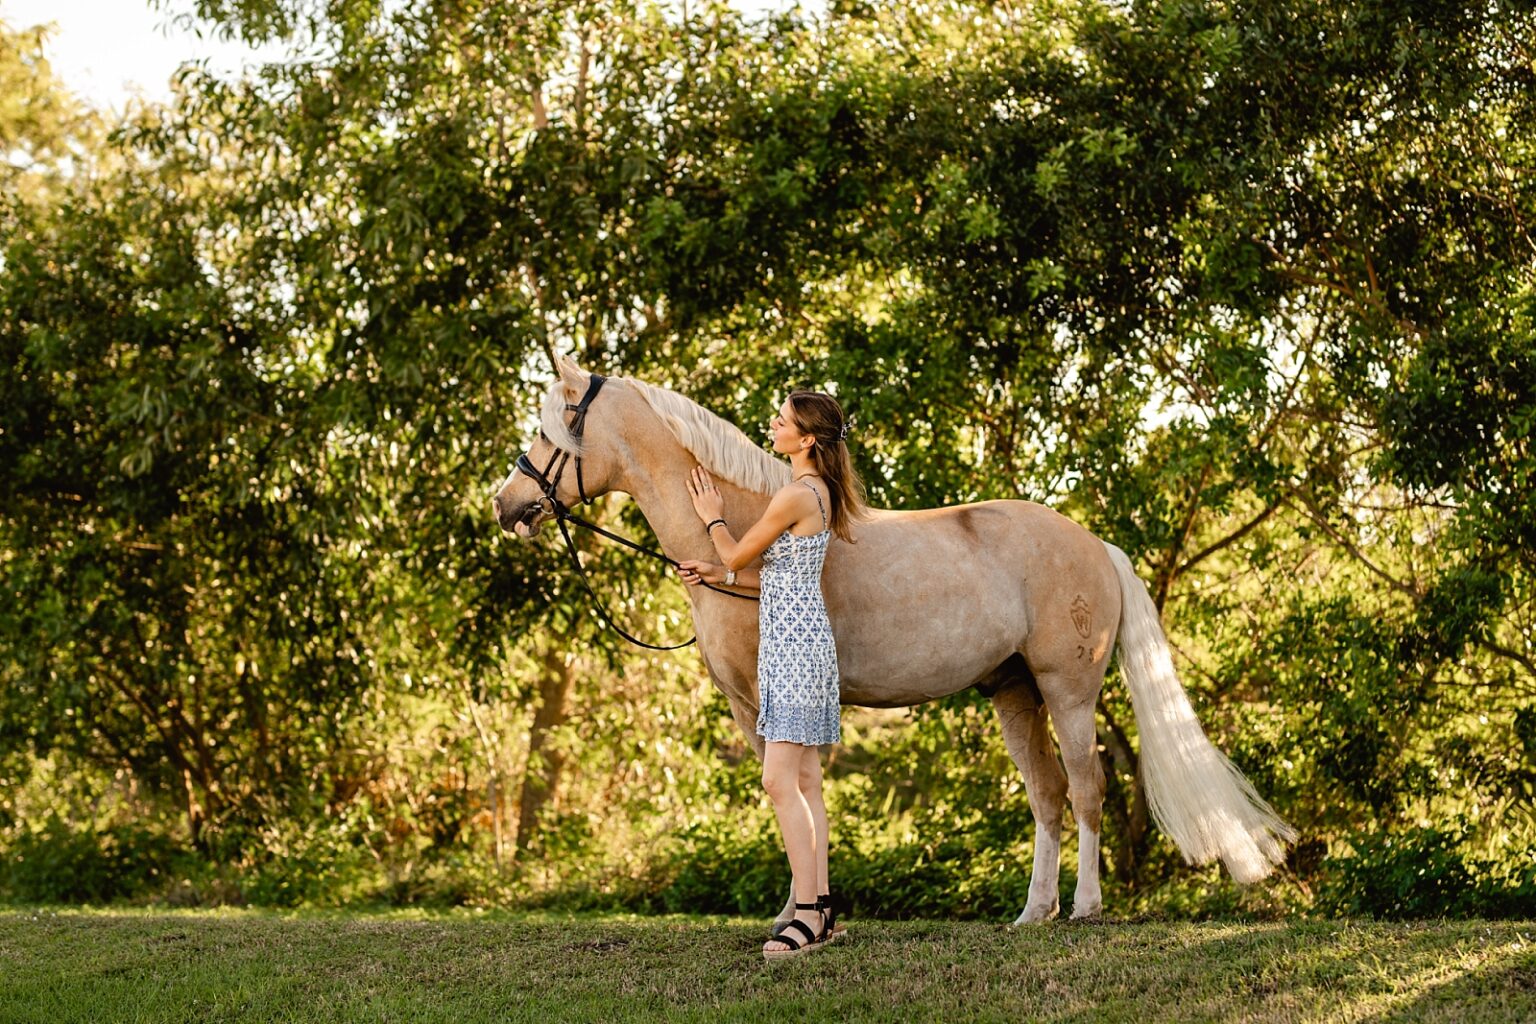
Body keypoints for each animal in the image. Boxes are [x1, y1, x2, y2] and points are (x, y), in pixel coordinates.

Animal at [493, 355, 1295, 924]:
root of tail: (1095, 543)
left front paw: (796, 914)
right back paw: (1033, 913)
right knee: (1047, 795)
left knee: (1086, 789)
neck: (741, 541)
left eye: (552, 429)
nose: (507, 504)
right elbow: (803, 800)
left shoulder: (765, 706)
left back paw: (1085, 908)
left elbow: (787, 800)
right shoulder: (769, 709)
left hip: (1068, 693)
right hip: (1015, 693)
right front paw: (805, 912)